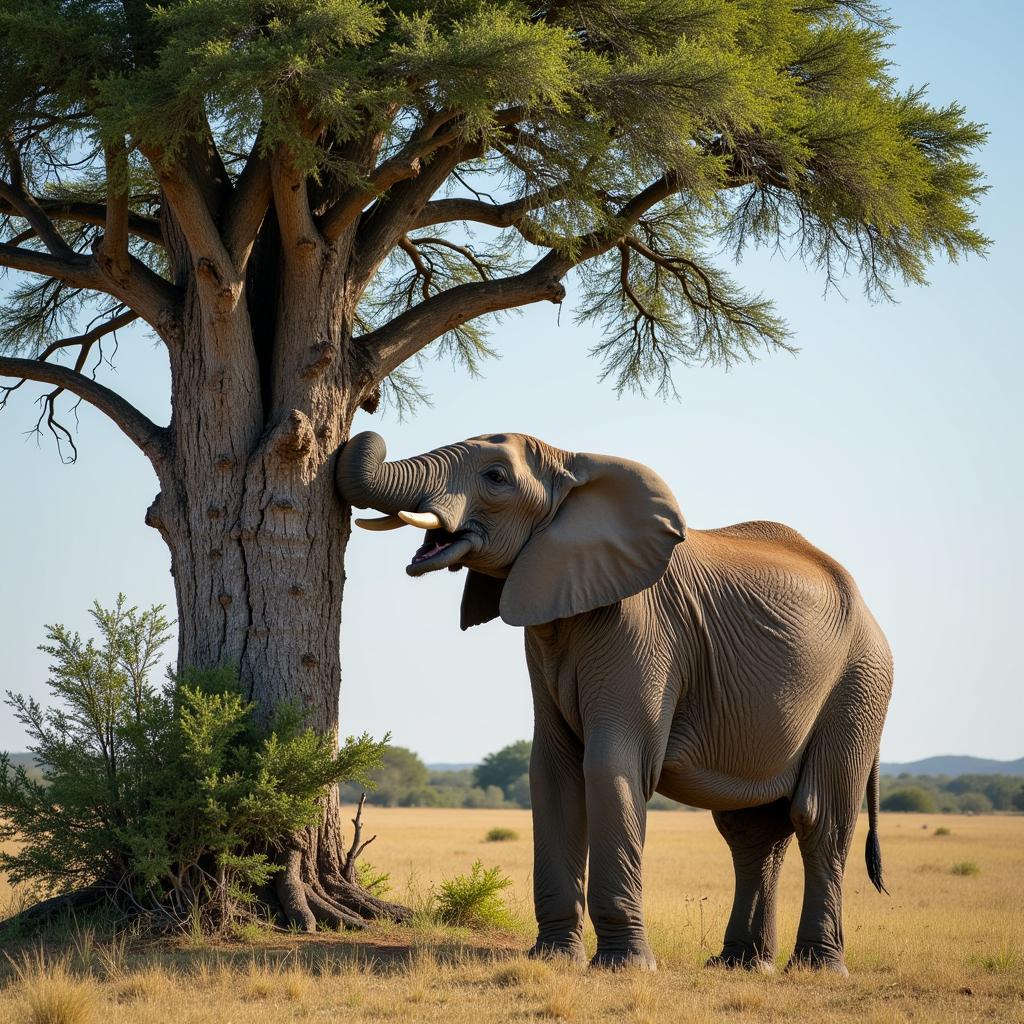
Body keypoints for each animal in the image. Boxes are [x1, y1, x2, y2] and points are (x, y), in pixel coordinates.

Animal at [335, 428, 888, 970]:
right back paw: (741, 965)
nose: (365, 428)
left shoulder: (644, 629)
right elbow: (552, 770)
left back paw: (816, 966)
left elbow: (609, 764)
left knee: (819, 817)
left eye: (495, 477)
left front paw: (623, 966)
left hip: (859, 684)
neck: (571, 464)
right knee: (751, 829)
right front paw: (555, 958)